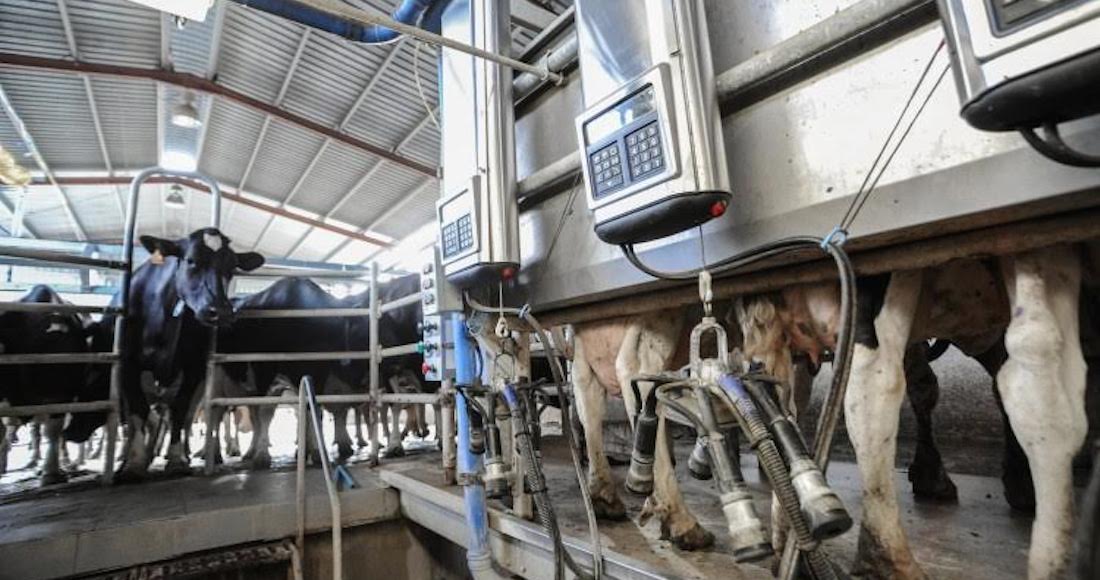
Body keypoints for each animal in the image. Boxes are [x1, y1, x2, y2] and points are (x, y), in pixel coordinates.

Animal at [64, 229, 264, 480]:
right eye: (191, 260)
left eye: (232, 266)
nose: (220, 311)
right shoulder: (128, 364)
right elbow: (138, 411)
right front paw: (134, 463)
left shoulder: (194, 367)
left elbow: (179, 410)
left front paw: (177, 460)